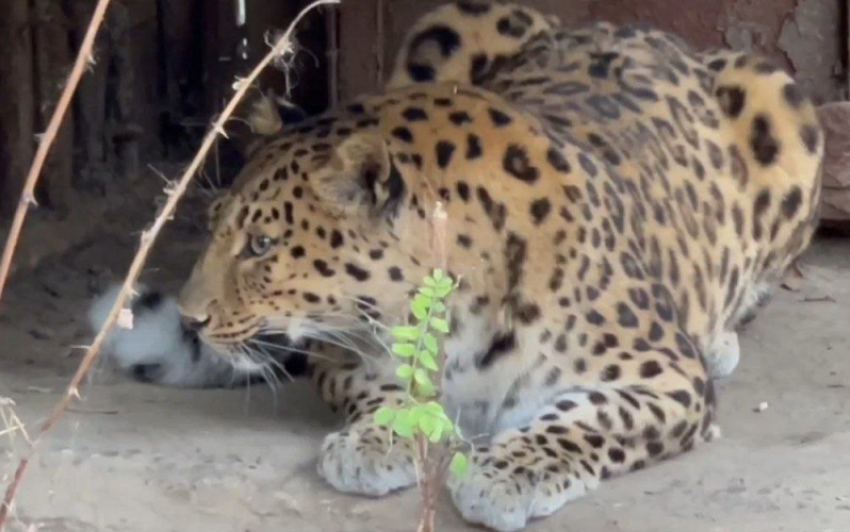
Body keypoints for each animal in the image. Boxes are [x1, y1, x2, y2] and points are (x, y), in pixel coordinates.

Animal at [91, 2, 820, 528]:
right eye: (218, 228)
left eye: (263, 245)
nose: (193, 317)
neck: (453, 307)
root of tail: (636, 26)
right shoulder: (343, 356)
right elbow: (385, 387)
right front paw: (377, 441)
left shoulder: (664, 374)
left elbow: (588, 418)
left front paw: (508, 472)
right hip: (451, 22)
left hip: (784, 102)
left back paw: (721, 336)